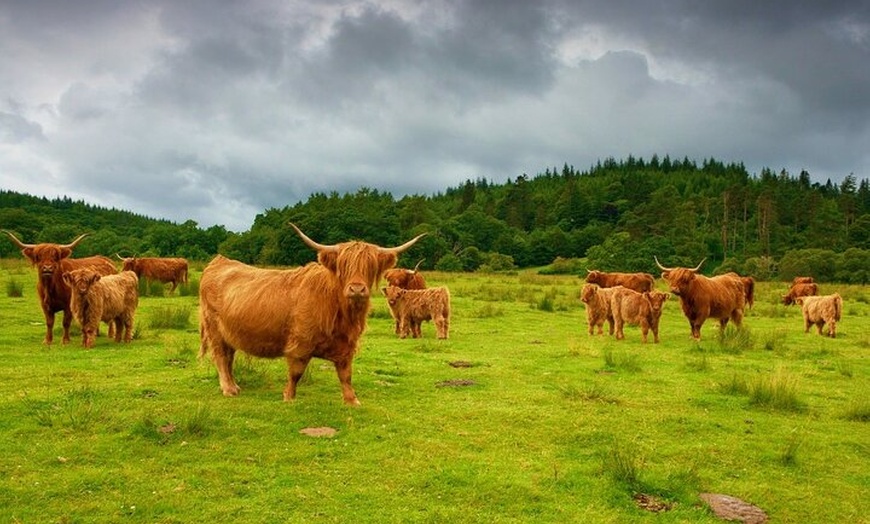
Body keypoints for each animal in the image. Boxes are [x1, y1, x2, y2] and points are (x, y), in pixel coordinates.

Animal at [201, 221, 426, 406]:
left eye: (370, 266)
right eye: (343, 266)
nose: (356, 289)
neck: (342, 314)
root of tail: (220, 261)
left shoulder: (347, 345)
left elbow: (346, 374)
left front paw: (352, 400)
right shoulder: (300, 343)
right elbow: (296, 372)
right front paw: (289, 397)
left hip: (230, 332)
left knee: (229, 357)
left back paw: (234, 385)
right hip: (214, 328)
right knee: (220, 356)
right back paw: (229, 389)